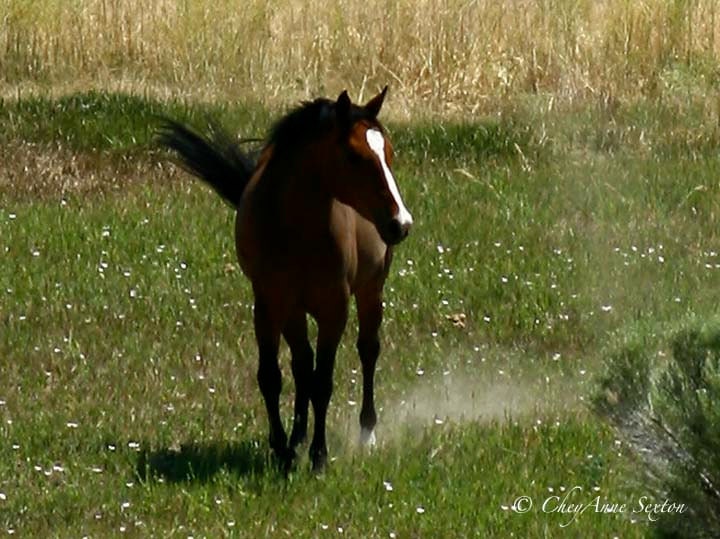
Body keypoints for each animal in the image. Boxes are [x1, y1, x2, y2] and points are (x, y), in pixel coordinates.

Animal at [158, 87, 413, 470]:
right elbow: (272, 377)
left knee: (367, 351)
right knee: (301, 363)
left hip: (371, 290)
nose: (401, 223)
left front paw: (319, 457)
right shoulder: (268, 304)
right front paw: (282, 449)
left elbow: (323, 381)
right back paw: (297, 437)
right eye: (354, 157)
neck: (294, 227)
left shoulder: (334, 309)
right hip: (293, 309)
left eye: (390, 154)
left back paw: (366, 433)